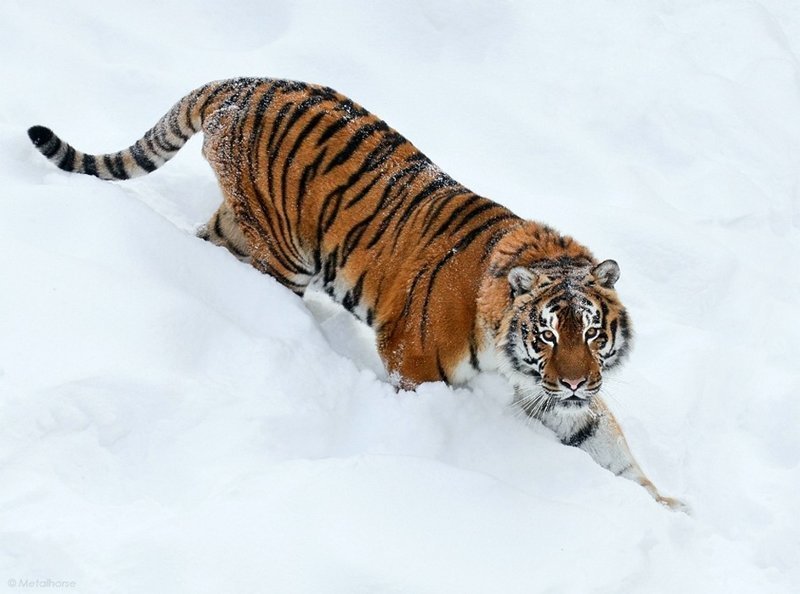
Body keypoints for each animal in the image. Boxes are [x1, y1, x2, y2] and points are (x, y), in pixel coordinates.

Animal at [28, 75, 684, 508]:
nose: (574, 381)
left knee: (205, 238)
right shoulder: (414, 363)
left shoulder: (550, 395)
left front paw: (670, 510)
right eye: (546, 334)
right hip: (283, 252)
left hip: (242, 227)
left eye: (592, 333)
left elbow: (610, 447)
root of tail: (240, 83)